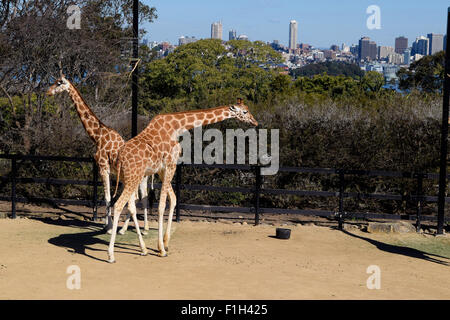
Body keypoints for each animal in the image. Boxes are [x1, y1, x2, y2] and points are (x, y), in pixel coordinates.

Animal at [46, 76, 151, 234]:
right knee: (140, 197)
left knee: (137, 197)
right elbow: (109, 197)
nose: (48, 92)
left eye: (59, 83)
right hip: (136, 178)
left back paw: (127, 229)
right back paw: (141, 229)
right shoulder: (107, 170)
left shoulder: (103, 167)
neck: (97, 136)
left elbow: (107, 198)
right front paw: (106, 225)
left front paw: (109, 228)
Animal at [107, 97, 258, 262]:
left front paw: (165, 244)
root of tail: (119, 158)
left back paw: (143, 249)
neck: (177, 127)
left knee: (128, 205)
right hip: (133, 177)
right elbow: (162, 206)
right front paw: (161, 250)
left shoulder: (162, 169)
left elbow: (173, 199)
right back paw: (111, 255)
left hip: (128, 178)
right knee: (118, 205)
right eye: (245, 111)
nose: (255, 122)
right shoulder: (170, 164)